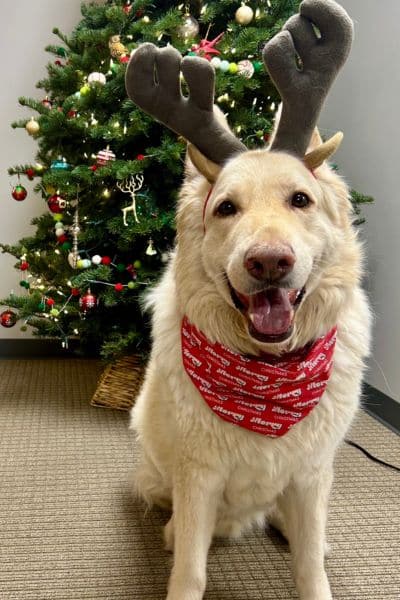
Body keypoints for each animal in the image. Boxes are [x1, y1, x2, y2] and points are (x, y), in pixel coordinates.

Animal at [126, 2, 372, 596]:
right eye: (226, 208)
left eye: (300, 199)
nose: (268, 263)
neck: (268, 374)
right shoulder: (198, 477)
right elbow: (189, 570)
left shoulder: (312, 474)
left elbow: (310, 569)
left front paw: (313, 563)